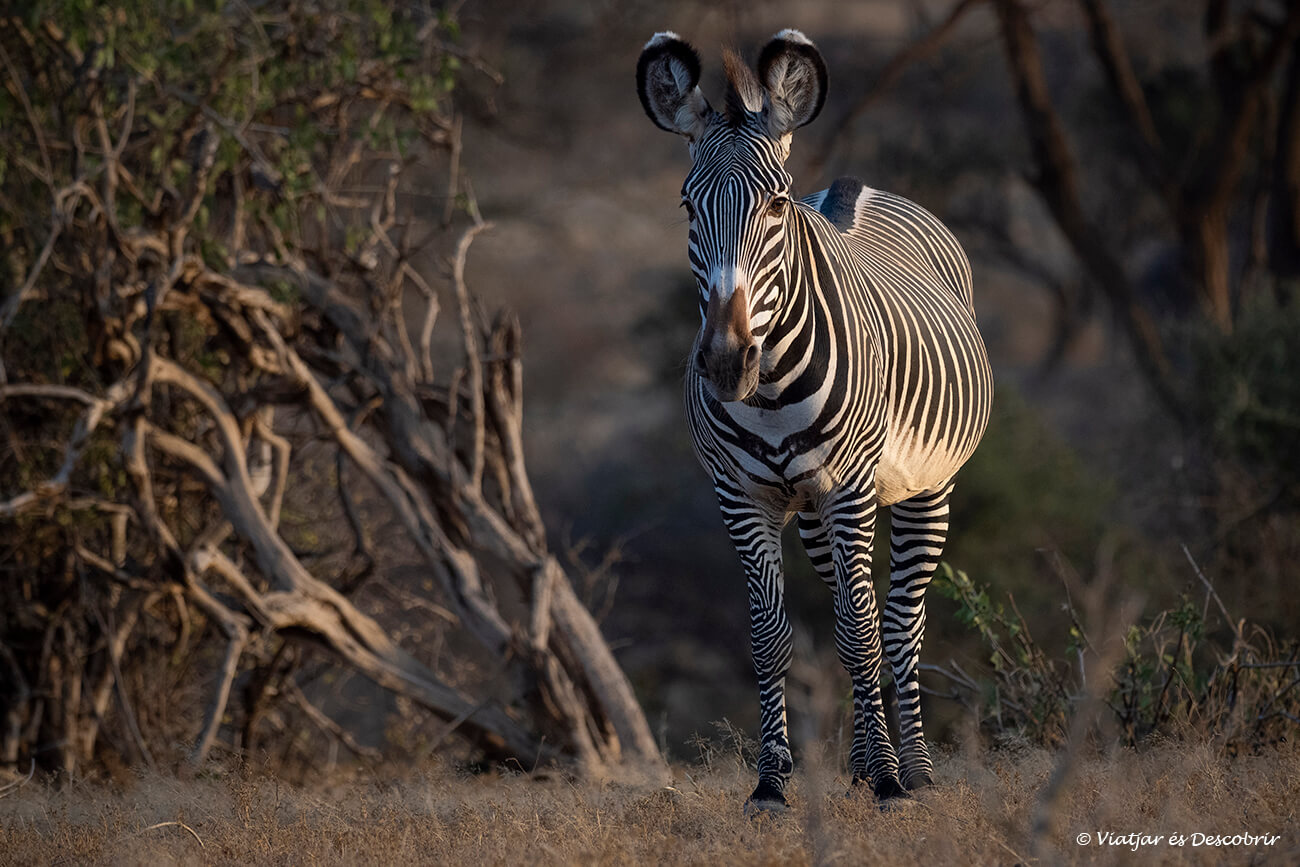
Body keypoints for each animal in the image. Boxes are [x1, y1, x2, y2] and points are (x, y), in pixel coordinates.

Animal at [636, 30, 993, 811]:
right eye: (686, 207)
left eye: (774, 207)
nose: (725, 362)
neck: (769, 390)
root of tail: (852, 187)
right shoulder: (743, 497)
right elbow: (774, 636)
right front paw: (771, 783)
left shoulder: (851, 489)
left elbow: (863, 633)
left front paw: (891, 781)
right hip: (811, 512)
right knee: (846, 605)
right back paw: (862, 761)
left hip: (926, 489)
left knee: (898, 622)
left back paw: (913, 769)